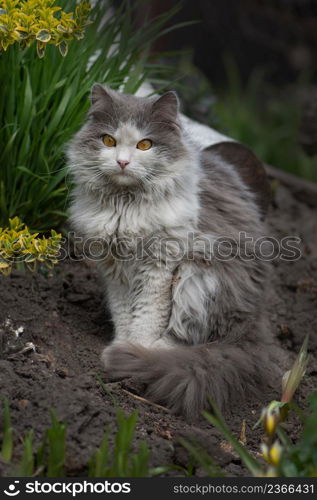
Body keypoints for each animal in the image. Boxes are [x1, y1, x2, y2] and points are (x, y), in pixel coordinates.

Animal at [66, 84, 278, 420]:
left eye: (145, 144)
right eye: (109, 140)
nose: (122, 162)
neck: (125, 205)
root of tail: (254, 324)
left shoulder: (160, 267)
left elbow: (146, 317)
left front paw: (134, 350)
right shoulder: (115, 270)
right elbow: (125, 314)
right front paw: (123, 344)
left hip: (198, 275)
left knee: (187, 339)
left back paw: (149, 358)